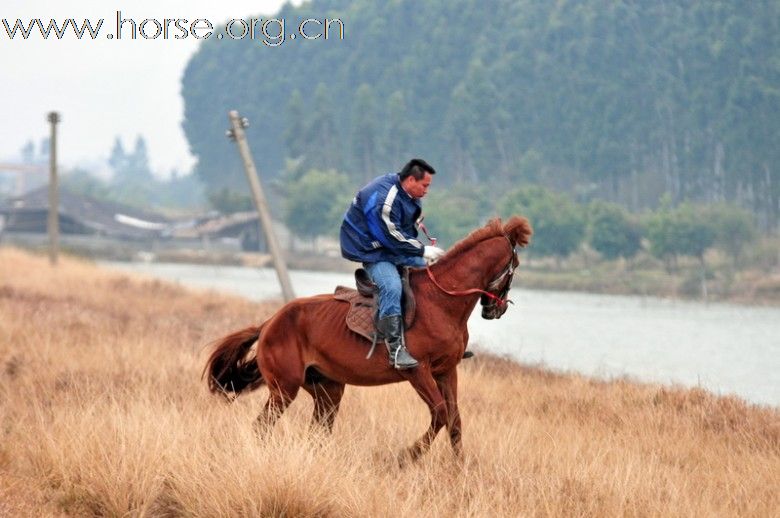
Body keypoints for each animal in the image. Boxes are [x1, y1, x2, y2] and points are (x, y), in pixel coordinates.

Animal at [203, 215, 532, 464]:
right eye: (514, 267)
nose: (497, 309)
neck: (441, 301)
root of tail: (269, 323)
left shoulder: (446, 371)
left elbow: (454, 421)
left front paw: (459, 468)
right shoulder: (417, 371)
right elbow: (440, 414)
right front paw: (406, 457)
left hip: (327, 390)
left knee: (317, 430)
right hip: (285, 388)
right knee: (262, 426)